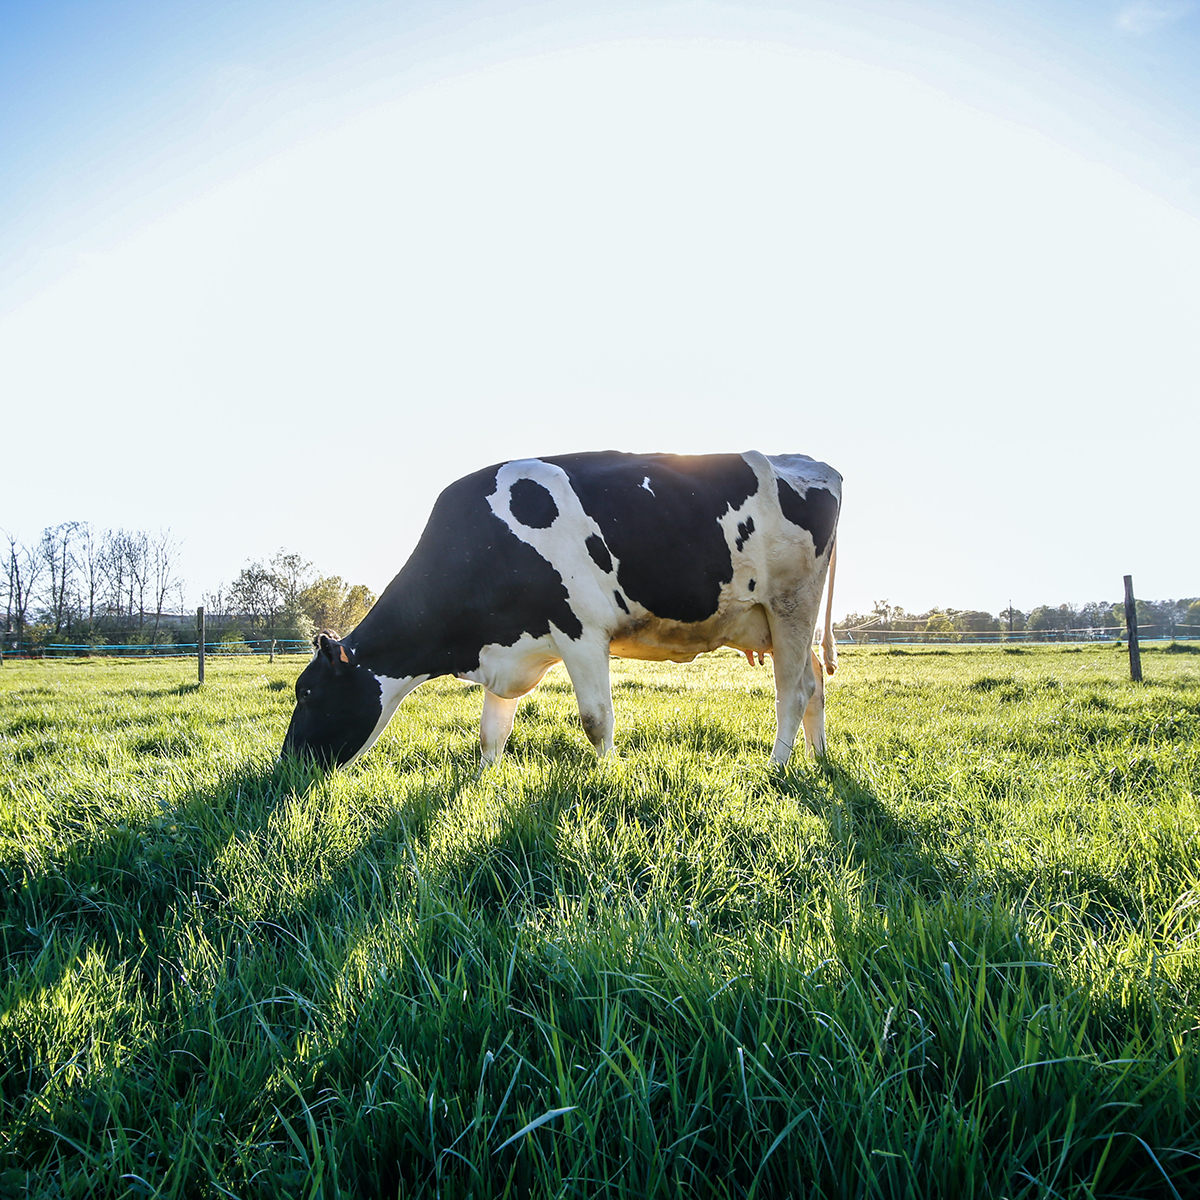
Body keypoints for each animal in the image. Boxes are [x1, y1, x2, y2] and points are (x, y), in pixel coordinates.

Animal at [283, 451, 844, 768]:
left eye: (306, 693)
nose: (287, 765)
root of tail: (813, 464)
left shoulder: (581, 631)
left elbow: (597, 720)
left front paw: (609, 778)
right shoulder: (506, 647)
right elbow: (491, 732)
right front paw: (484, 781)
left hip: (791, 605)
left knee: (791, 693)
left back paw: (777, 767)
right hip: (773, 620)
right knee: (814, 681)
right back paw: (817, 758)